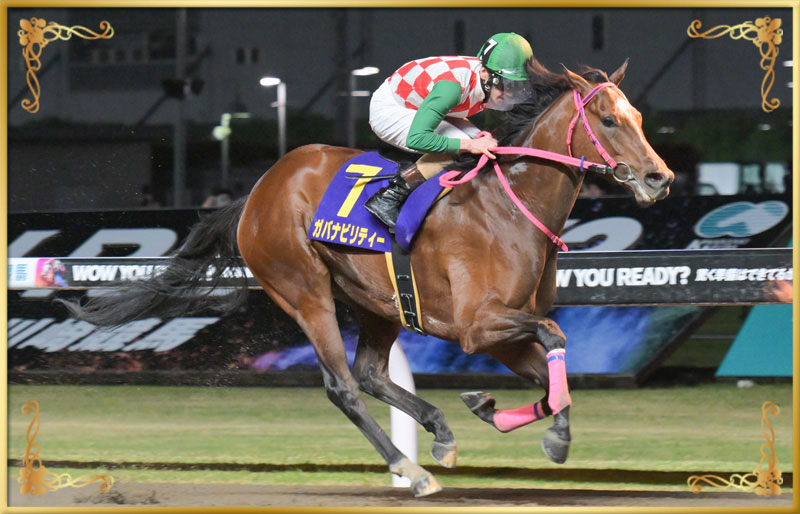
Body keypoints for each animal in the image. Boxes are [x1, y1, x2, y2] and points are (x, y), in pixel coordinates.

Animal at [59, 58, 673, 497]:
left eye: (641, 120)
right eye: (609, 121)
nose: (659, 178)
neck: (510, 204)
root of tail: (259, 190)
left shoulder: (501, 333)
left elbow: (550, 375)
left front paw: (493, 409)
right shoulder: (477, 327)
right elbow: (555, 335)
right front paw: (551, 434)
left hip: (379, 303)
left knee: (372, 374)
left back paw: (440, 434)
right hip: (304, 292)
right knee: (344, 386)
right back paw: (412, 469)